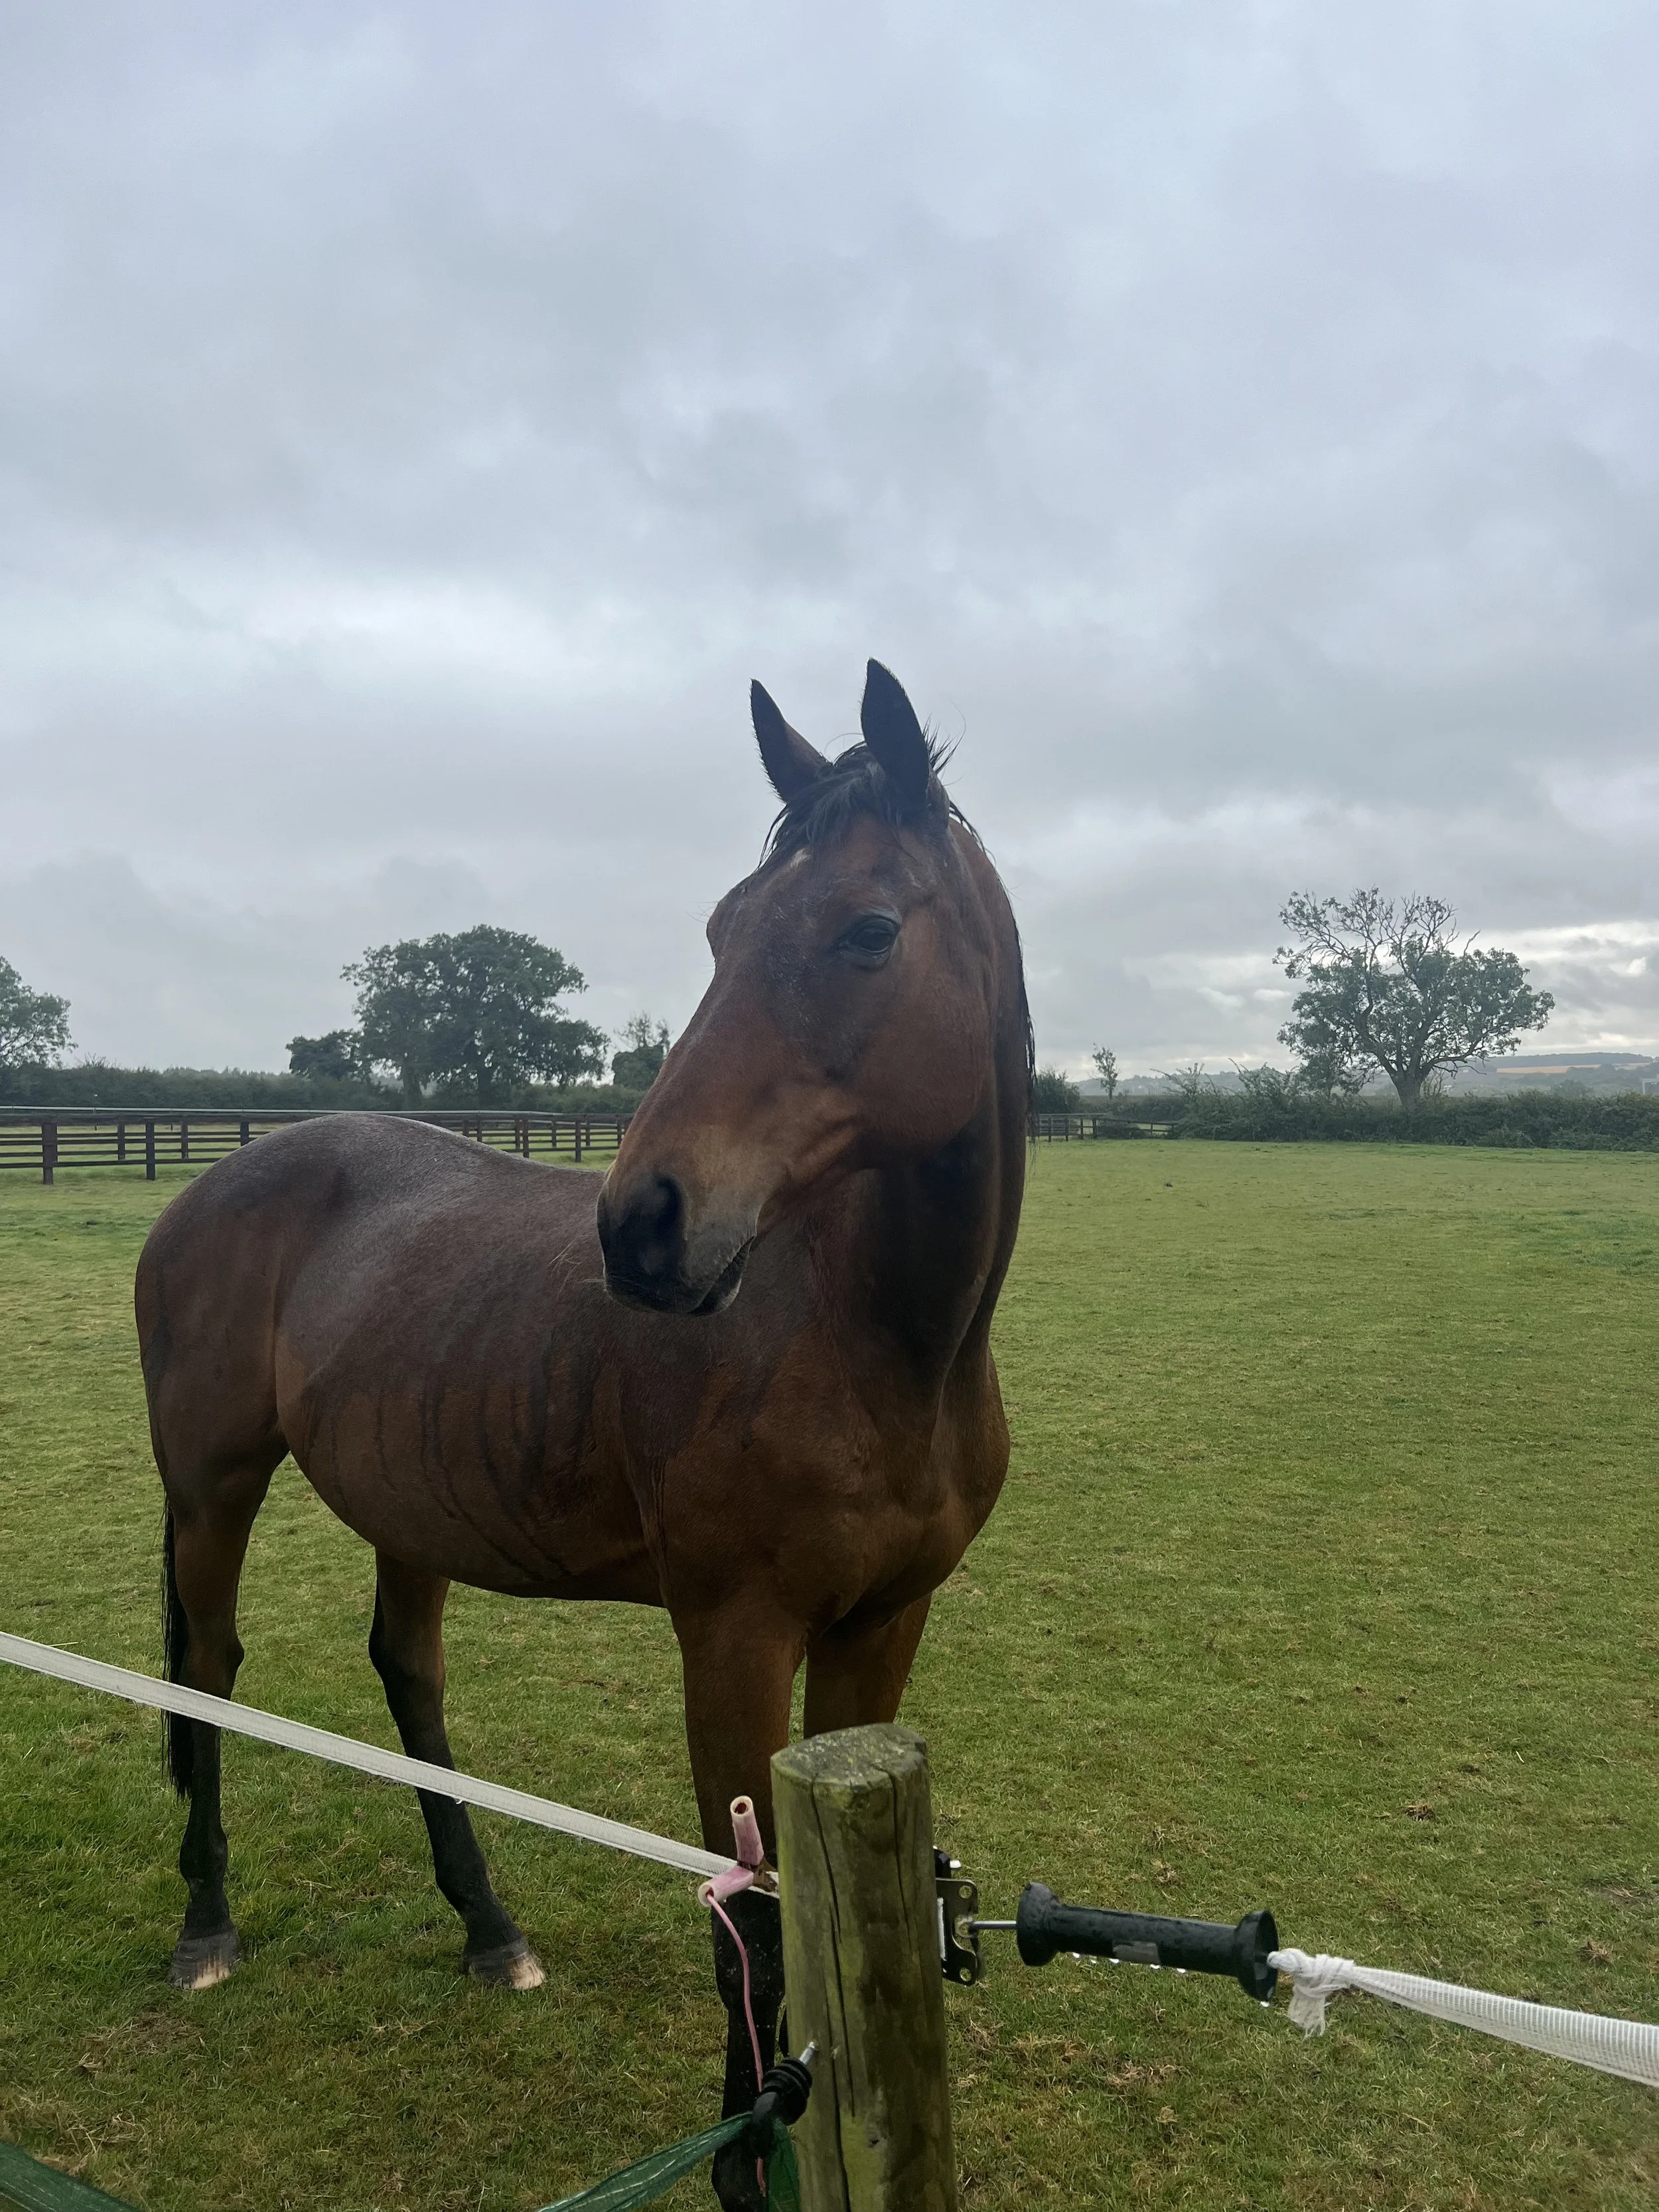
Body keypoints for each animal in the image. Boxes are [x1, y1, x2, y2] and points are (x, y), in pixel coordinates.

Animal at [136, 660, 1031, 2209]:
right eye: (723, 927)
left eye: (866, 929)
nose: (644, 1223)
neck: (877, 1343)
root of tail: (208, 1186)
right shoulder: (733, 1637)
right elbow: (752, 1917)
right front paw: (745, 2154)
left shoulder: (880, 1629)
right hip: (211, 1485)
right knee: (209, 1670)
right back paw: (209, 1926)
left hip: (408, 1504)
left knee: (409, 1676)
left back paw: (490, 1928)